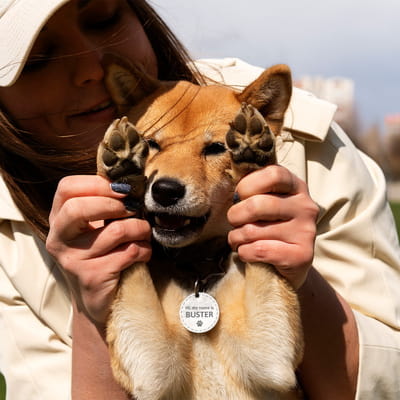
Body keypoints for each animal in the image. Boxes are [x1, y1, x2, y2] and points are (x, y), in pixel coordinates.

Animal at [97, 57, 304, 398]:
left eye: (217, 148)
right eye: (151, 144)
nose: (165, 191)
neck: (199, 273)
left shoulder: (271, 358)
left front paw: (253, 155)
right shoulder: (151, 366)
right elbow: (132, 264)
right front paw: (123, 167)